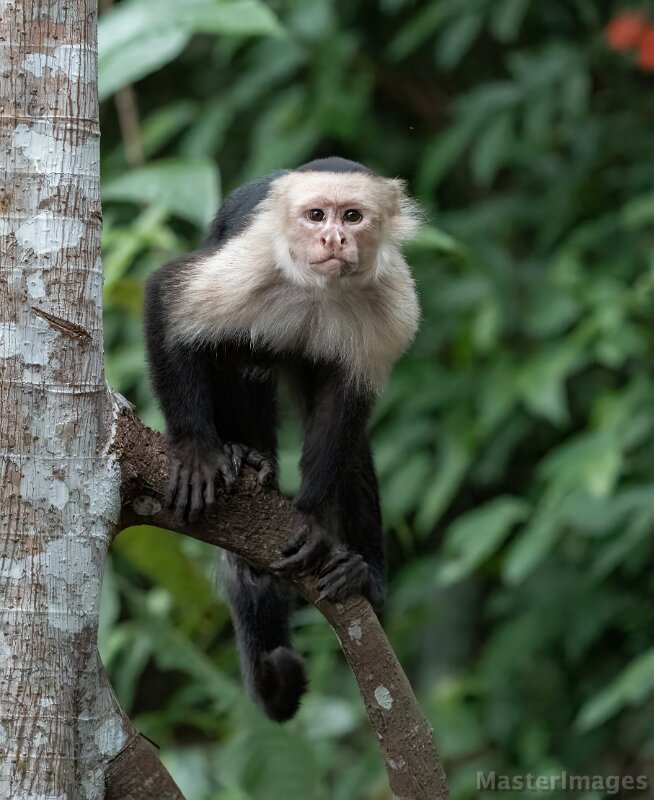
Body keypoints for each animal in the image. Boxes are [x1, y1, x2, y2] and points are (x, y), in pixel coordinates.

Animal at [144, 157, 420, 722]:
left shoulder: (396, 301)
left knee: (350, 444)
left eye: (352, 216)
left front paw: (311, 518)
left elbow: (344, 408)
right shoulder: (250, 264)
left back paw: (364, 572)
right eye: (316, 215)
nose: (334, 237)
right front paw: (197, 451)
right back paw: (245, 457)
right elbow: (167, 298)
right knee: (234, 355)